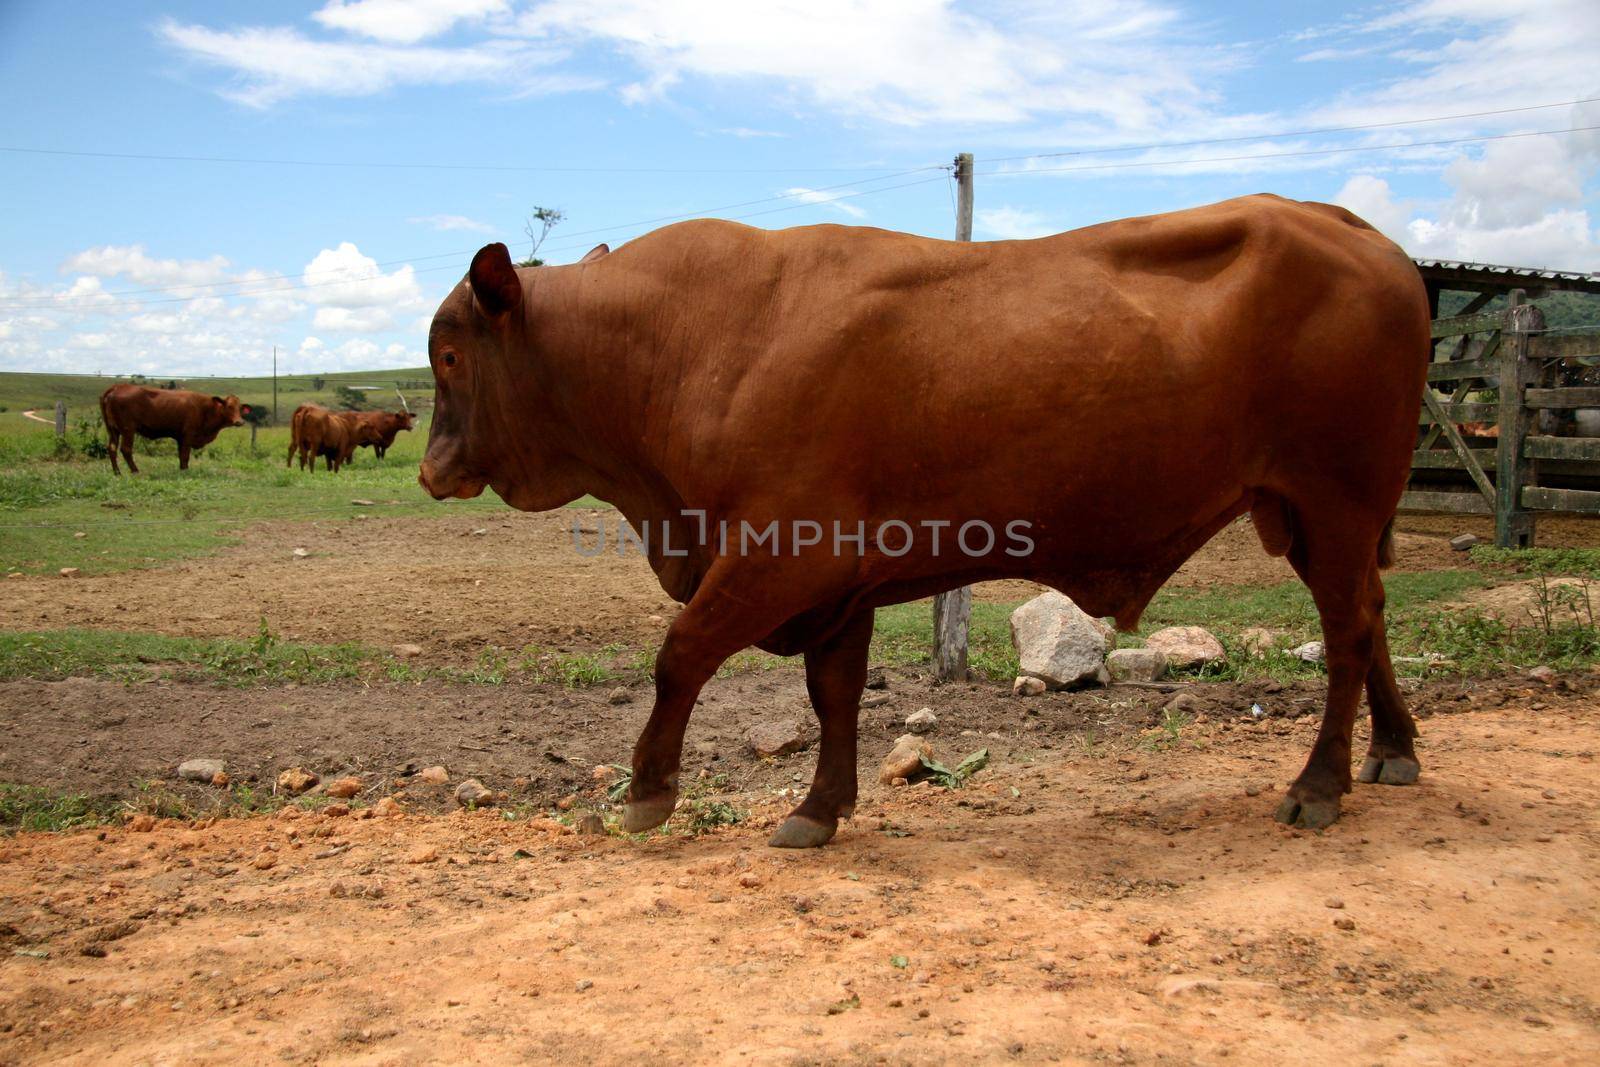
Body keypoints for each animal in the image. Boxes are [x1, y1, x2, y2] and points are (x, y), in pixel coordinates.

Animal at [100, 379, 246, 470]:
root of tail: (117, 387)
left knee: (112, 448)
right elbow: (185, 456)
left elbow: (181, 456)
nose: (239, 421)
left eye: (240, 408)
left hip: (113, 430)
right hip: (128, 430)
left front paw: (182, 470)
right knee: (126, 449)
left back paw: (117, 473)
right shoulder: (188, 436)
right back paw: (135, 471)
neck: (205, 408)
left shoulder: (180, 438)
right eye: (229, 406)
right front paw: (186, 471)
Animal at [419, 195, 1433, 844]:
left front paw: (647, 792)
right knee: (1374, 618)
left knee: (1348, 633)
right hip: (1307, 516)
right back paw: (1393, 751)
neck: (697, 340)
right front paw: (819, 809)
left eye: (450, 355)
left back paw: (1319, 785)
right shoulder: (838, 581)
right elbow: (831, 693)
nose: (429, 470)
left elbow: (681, 657)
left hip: (1336, 501)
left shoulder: (779, 558)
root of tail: (1350, 228)